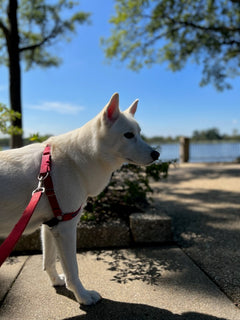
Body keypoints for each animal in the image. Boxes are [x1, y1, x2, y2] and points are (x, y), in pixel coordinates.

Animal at [0, 93, 159, 304]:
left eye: (139, 133)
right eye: (128, 135)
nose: (157, 154)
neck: (75, 161)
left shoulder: (50, 225)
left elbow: (48, 260)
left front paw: (57, 281)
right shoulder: (66, 228)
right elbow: (73, 270)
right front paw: (83, 296)